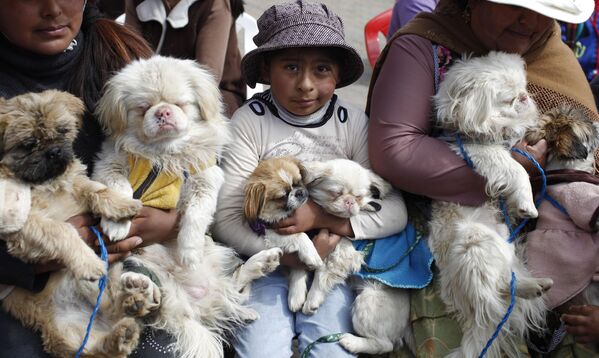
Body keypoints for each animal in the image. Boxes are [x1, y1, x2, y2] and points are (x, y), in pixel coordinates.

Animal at [245, 156, 326, 310]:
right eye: (282, 196)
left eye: (298, 182)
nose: (299, 192)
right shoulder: (271, 232)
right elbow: (300, 236)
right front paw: (311, 255)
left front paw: (296, 294)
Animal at [432, 51, 552, 358]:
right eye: (508, 99)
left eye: (523, 88)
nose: (524, 97)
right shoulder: (483, 154)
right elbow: (517, 170)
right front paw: (527, 204)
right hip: (475, 243)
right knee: (498, 289)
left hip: (504, 246)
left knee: (507, 283)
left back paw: (537, 285)